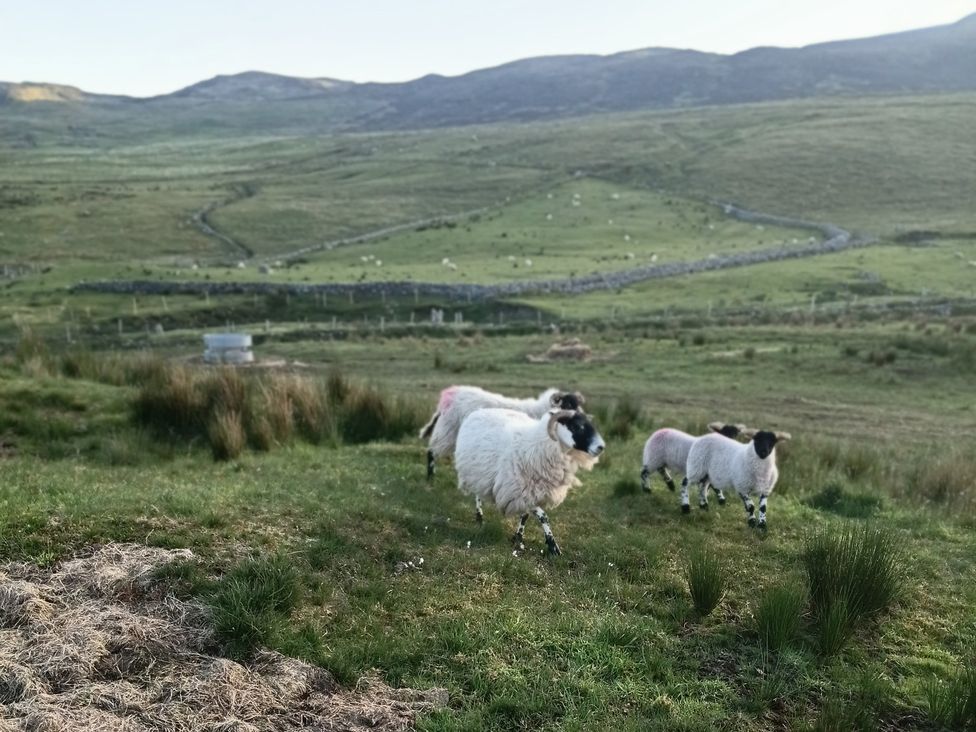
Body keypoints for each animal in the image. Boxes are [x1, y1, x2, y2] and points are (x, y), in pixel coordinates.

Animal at [419, 385, 585, 480]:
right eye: (568, 404)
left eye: (577, 404)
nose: (582, 419)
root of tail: (449, 395)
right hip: (448, 428)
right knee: (432, 451)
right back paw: (430, 477)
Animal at [455, 407, 604, 555]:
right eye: (576, 426)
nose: (601, 447)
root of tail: (479, 410)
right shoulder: (518, 493)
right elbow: (543, 516)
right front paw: (553, 546)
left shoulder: (529, 491)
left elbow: (524, 516)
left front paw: (519, 539)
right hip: (475, 472)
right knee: (477, 496)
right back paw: (479, 519)